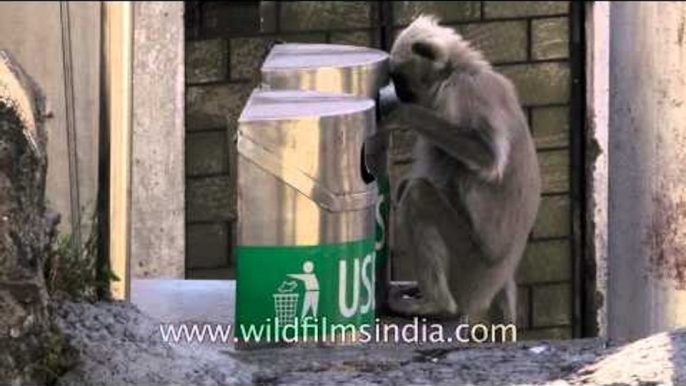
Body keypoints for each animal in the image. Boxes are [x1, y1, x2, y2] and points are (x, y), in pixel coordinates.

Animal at [382, 15, 544, 324]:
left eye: (400, 79)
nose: (399, 93)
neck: (459, 69)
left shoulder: (465, 90)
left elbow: (488, 158)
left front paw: (402, 113)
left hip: (469, 268)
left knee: (417, 193)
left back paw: (438, 305)